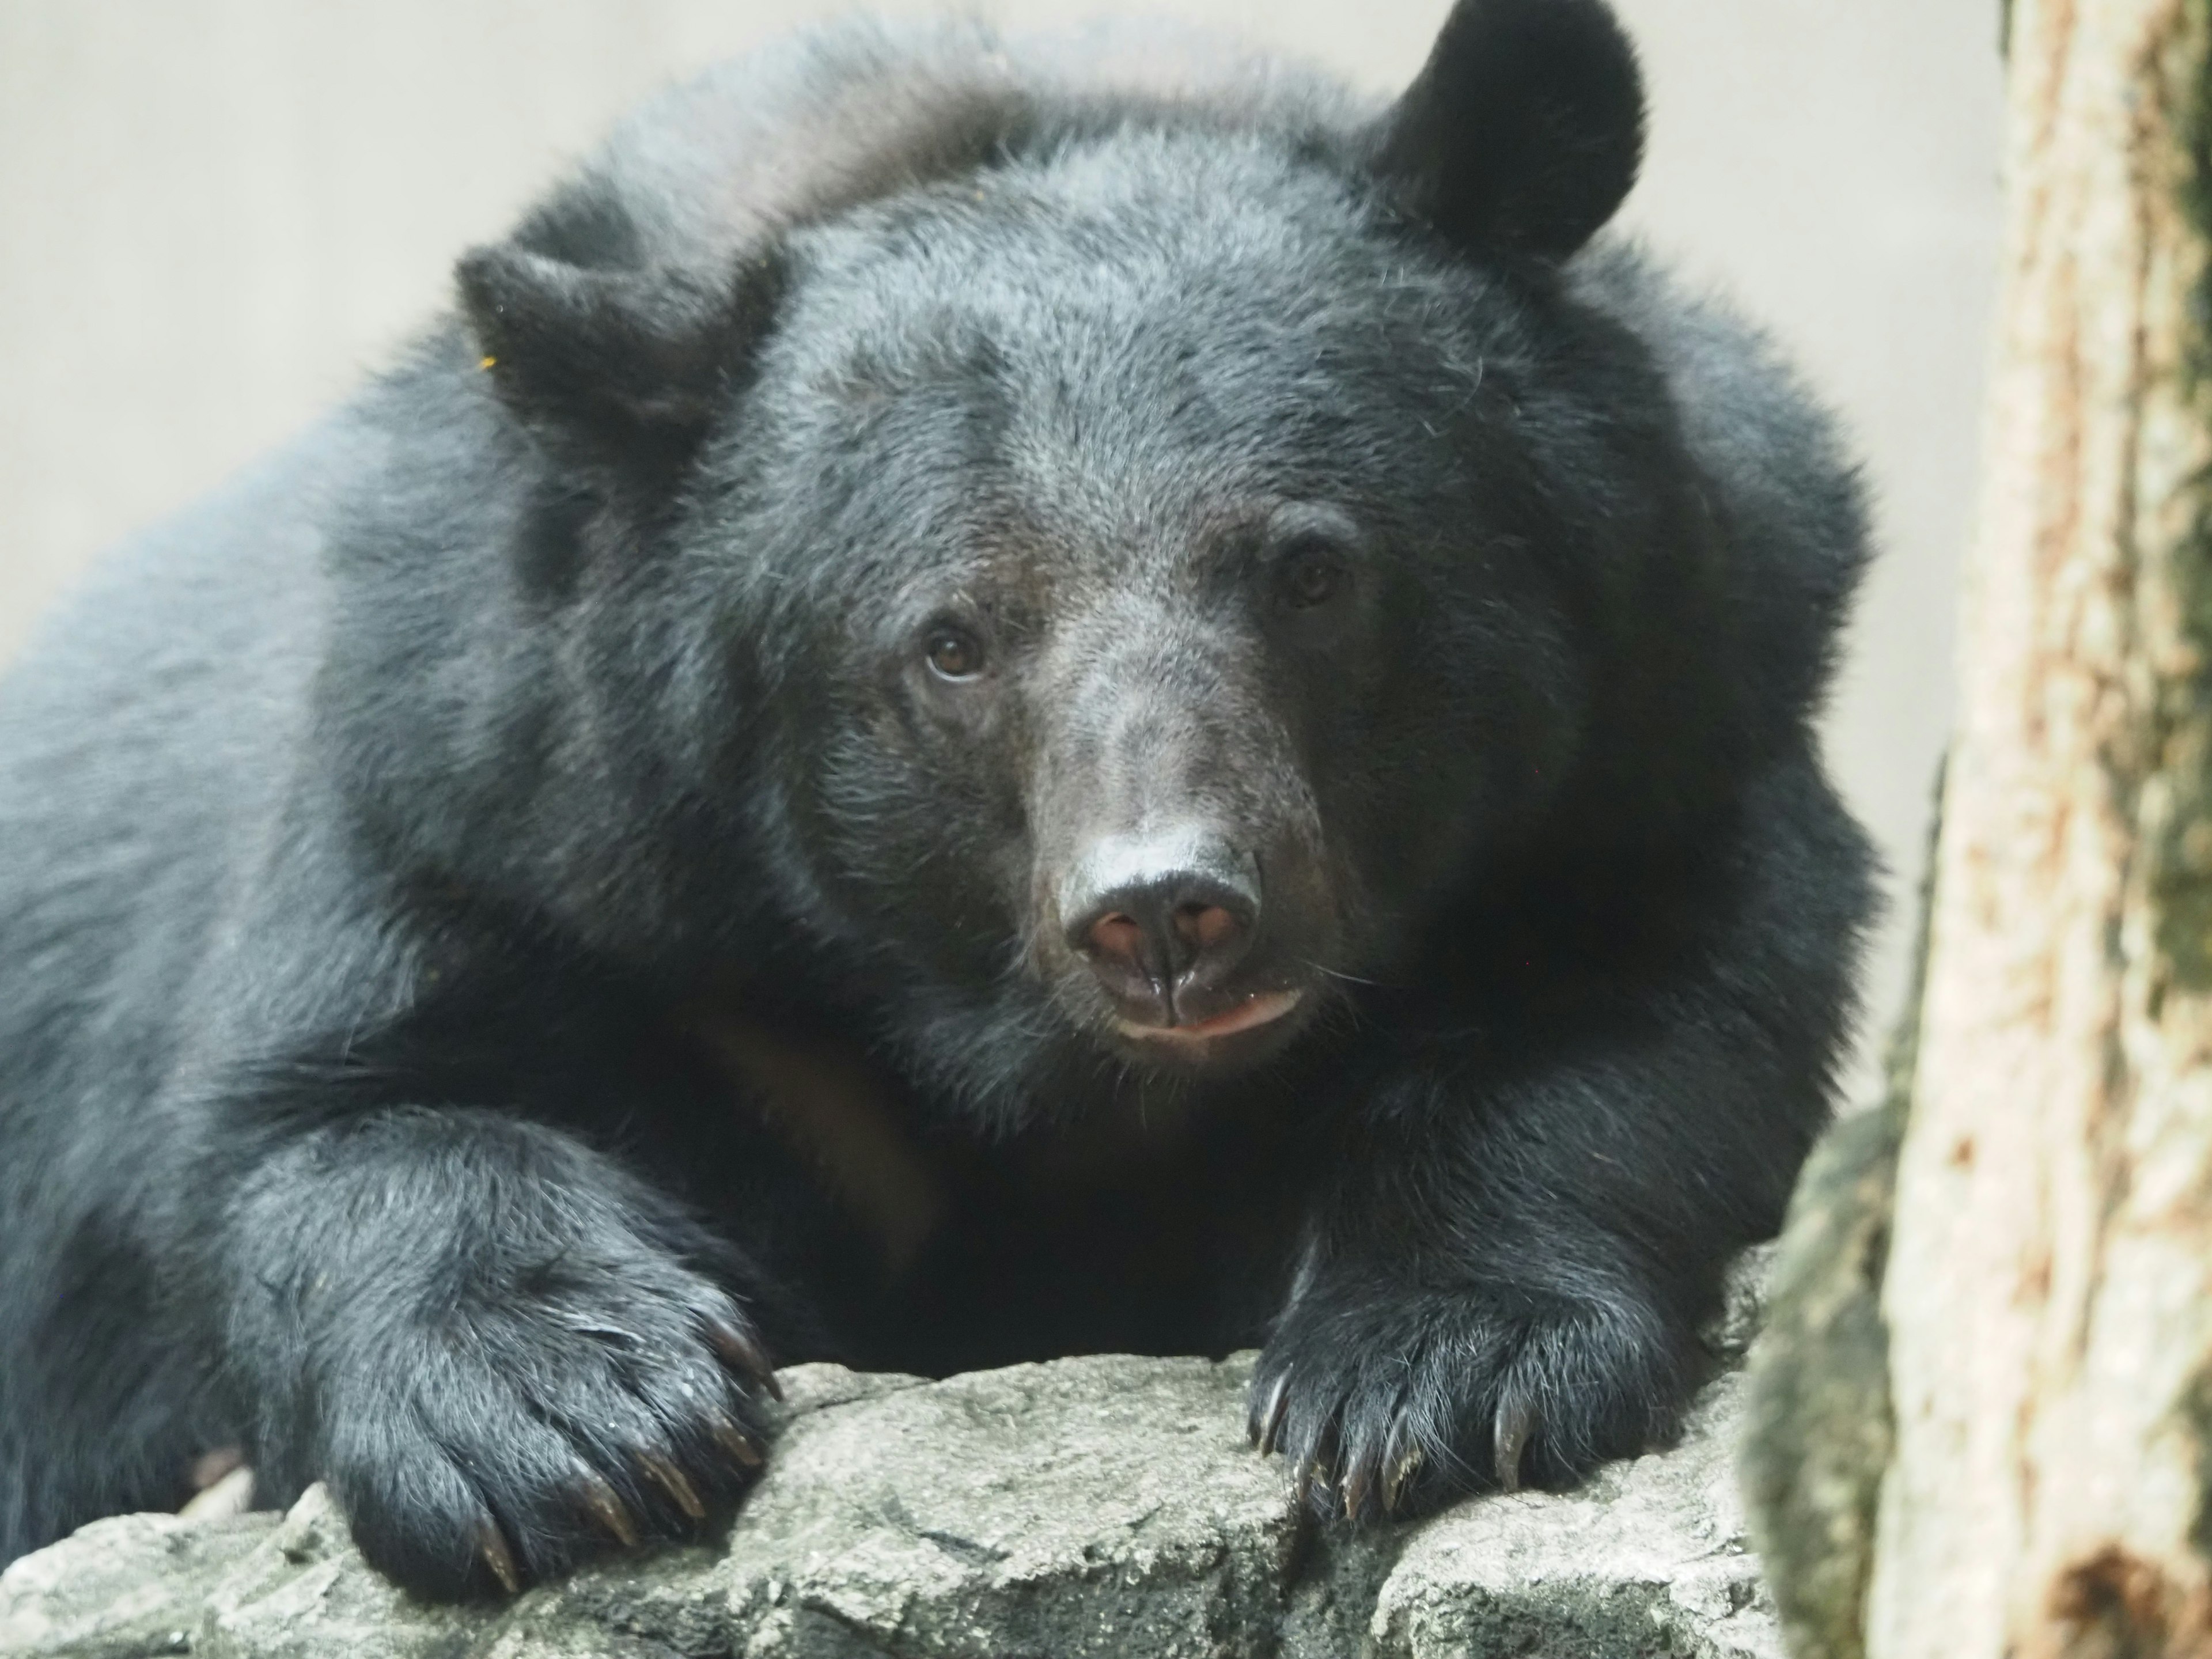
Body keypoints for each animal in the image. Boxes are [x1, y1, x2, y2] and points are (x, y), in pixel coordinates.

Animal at [0, 0, 1866, 1601]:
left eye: (1308, 571)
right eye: (951, 643)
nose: (1166, 914)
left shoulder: (1673, 714)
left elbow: (1624, 1008)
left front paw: (1429, 1377)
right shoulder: (483, 775)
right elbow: (353, 1105)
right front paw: (582, 1429)